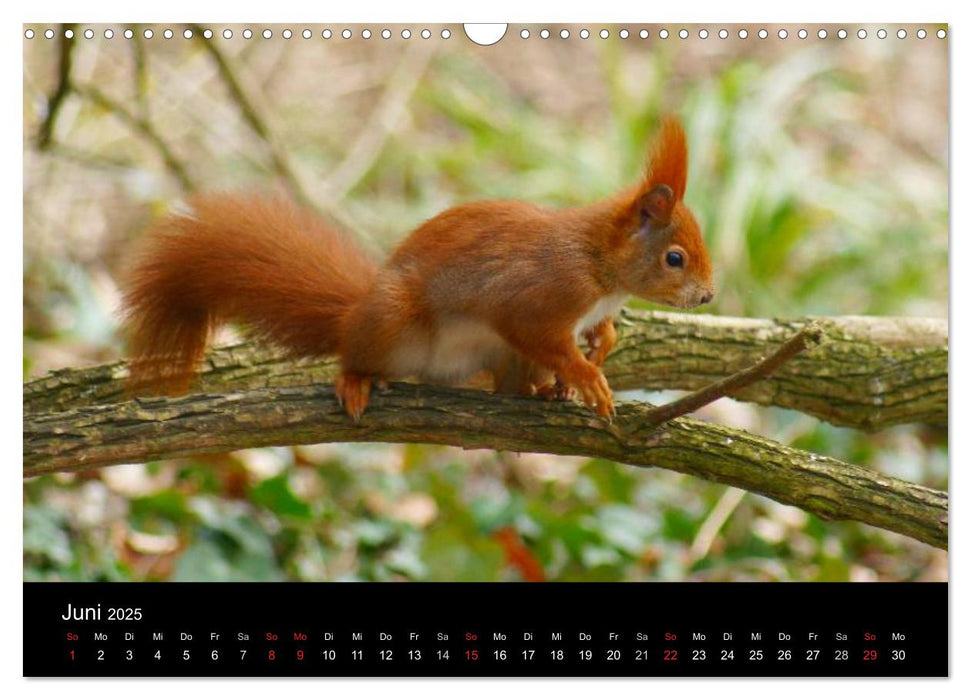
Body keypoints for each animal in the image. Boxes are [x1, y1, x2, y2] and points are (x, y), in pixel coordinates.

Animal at [119, 117, 712, 418]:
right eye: (675, 258)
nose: (707, 296)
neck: (599, 265)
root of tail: (353, 316)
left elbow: (599, 331)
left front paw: (602, 344)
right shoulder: (540, 294)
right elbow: (535, 329)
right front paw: (589, 375)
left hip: (497, 358)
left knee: (509, 389)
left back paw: (545, 392)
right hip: (392, 320)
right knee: (357, 356)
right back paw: (356, 379)